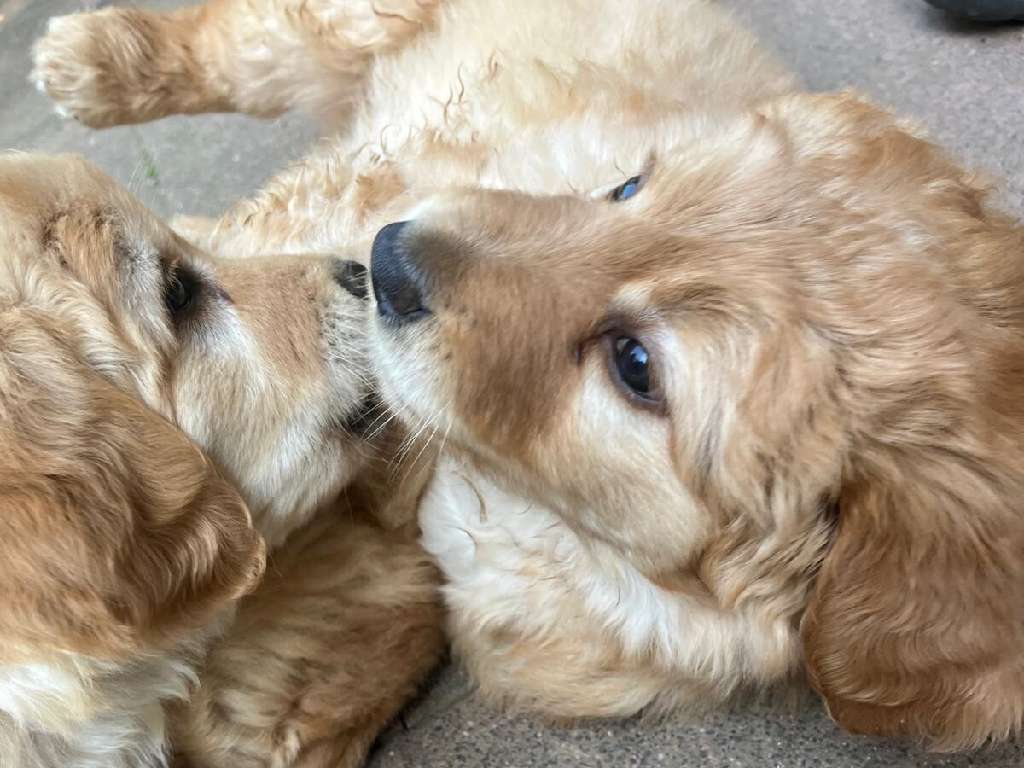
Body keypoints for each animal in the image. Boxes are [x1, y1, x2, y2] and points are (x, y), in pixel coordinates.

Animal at [31, 0, 1024, 753]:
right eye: (628, 189)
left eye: (636, 367)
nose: (388, 260)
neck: (530, 516)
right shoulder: (378, 175)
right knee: (256, 40)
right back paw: (90, 59)